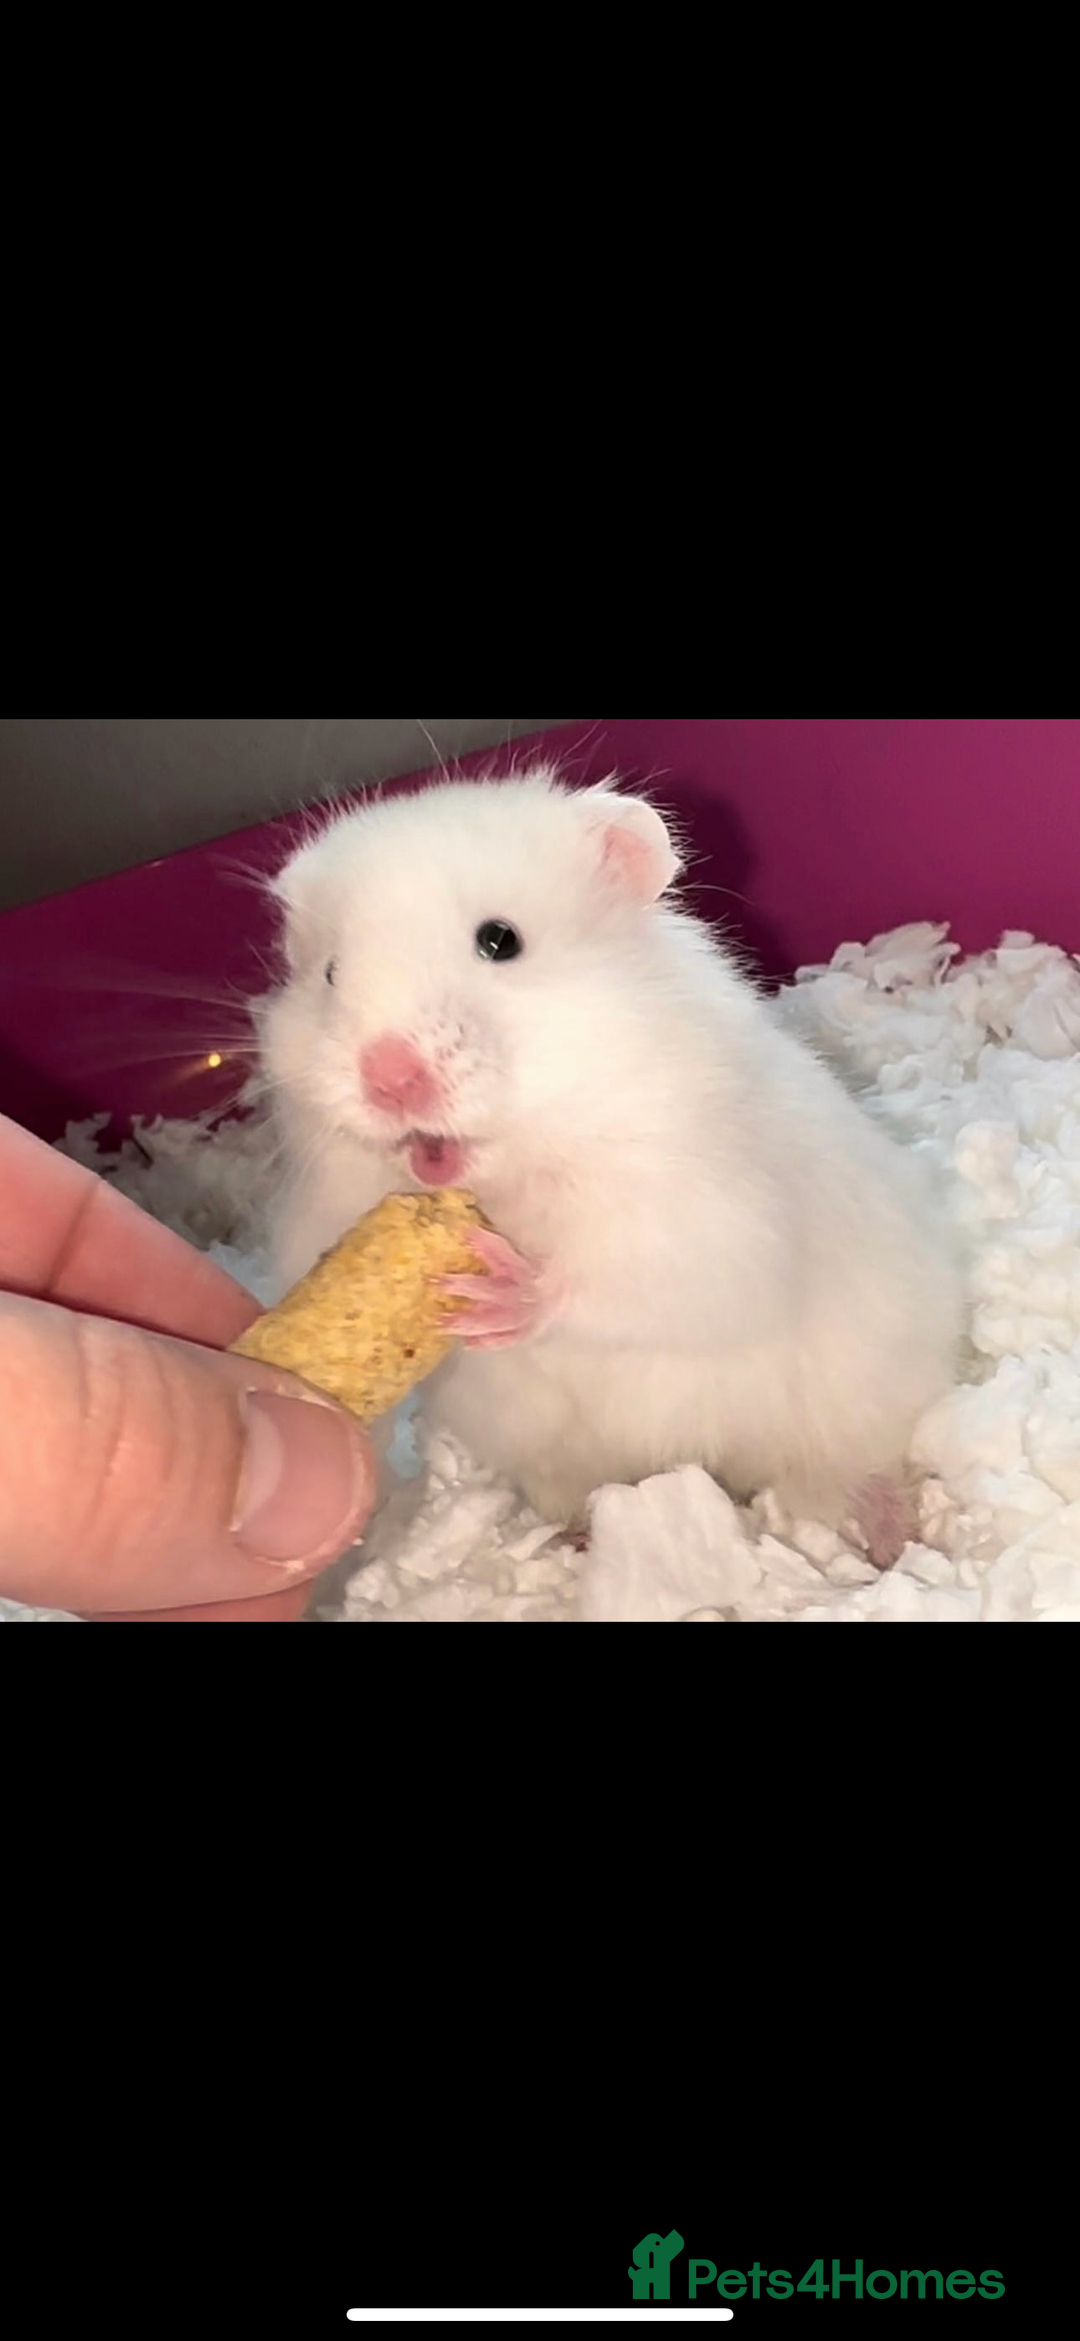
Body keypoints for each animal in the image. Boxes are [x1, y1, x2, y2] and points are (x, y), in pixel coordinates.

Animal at [255, 769, 962, 1540]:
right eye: (329, 974)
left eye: (500, 940)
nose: (387, 1076)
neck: (514, 1168)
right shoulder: (321, 1216)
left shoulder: (703, 1217)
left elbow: (624, 1279)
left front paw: (503, 1292)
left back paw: (888, 1530)